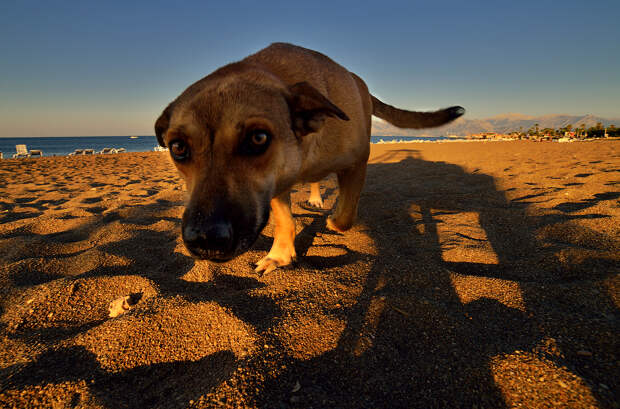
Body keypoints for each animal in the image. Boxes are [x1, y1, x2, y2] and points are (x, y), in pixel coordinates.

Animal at [155, 41, 464, 272]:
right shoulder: (276, 184)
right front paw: (280, 255)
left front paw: (332, 219)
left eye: (258, 138)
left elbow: (345, 215)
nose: (204, 240)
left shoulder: (357, 163)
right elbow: (285, 221)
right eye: (178, 147)